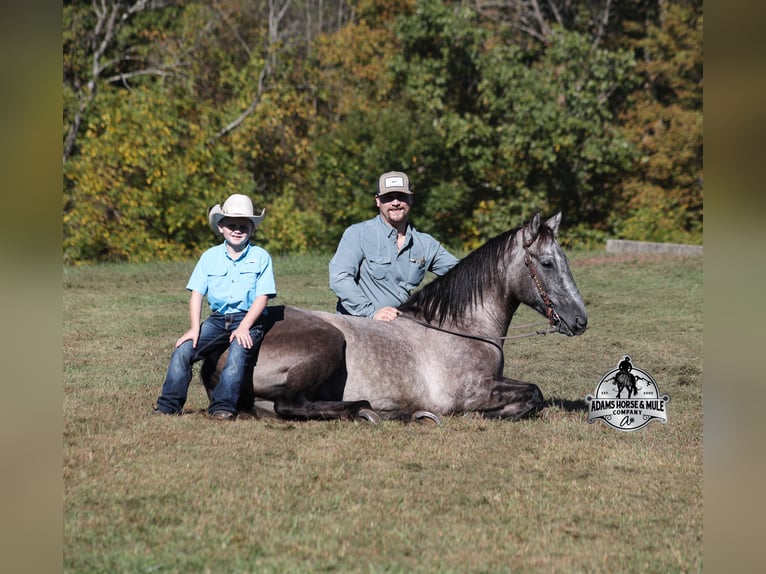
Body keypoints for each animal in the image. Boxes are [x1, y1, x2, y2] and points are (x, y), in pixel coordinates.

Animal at [201, 212, 588, 422]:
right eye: (547, 263)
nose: (580, 320)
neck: (458, 329)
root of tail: (233, 339)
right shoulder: (472, 391)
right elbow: (534, 394)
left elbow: (532, 395)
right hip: (328, 342)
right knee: (291, 405)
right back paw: (368, 410)